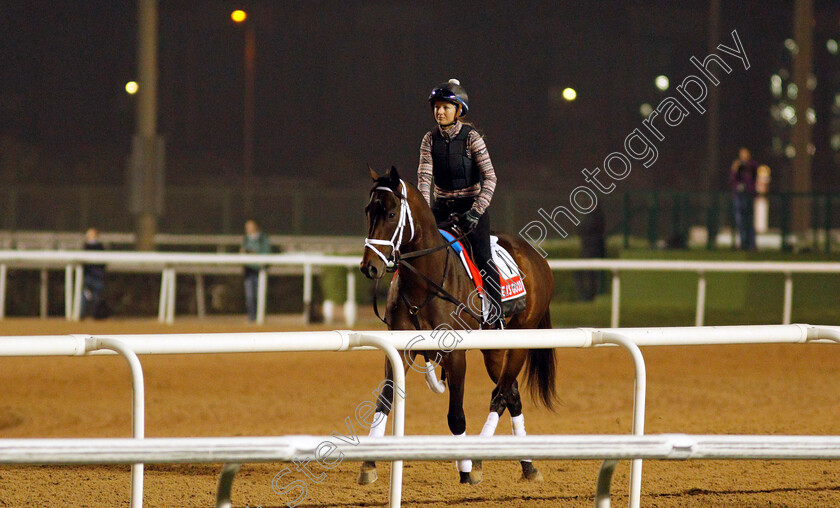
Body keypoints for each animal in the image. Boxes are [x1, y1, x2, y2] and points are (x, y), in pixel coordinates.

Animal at [358, 166, 556, 484]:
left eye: (390, 213)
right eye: (368, 210)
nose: (369, 267)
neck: (425, 283)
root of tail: (536, 257)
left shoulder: (456, 354)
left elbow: (456, 415)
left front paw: (465, 470)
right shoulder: (400, 349)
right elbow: (384, 399)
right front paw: (368, 464)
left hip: (519, 342)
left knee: (501, 394)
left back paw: (478, 460)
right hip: (494, 351)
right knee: (511, 394)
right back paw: (527, 465)